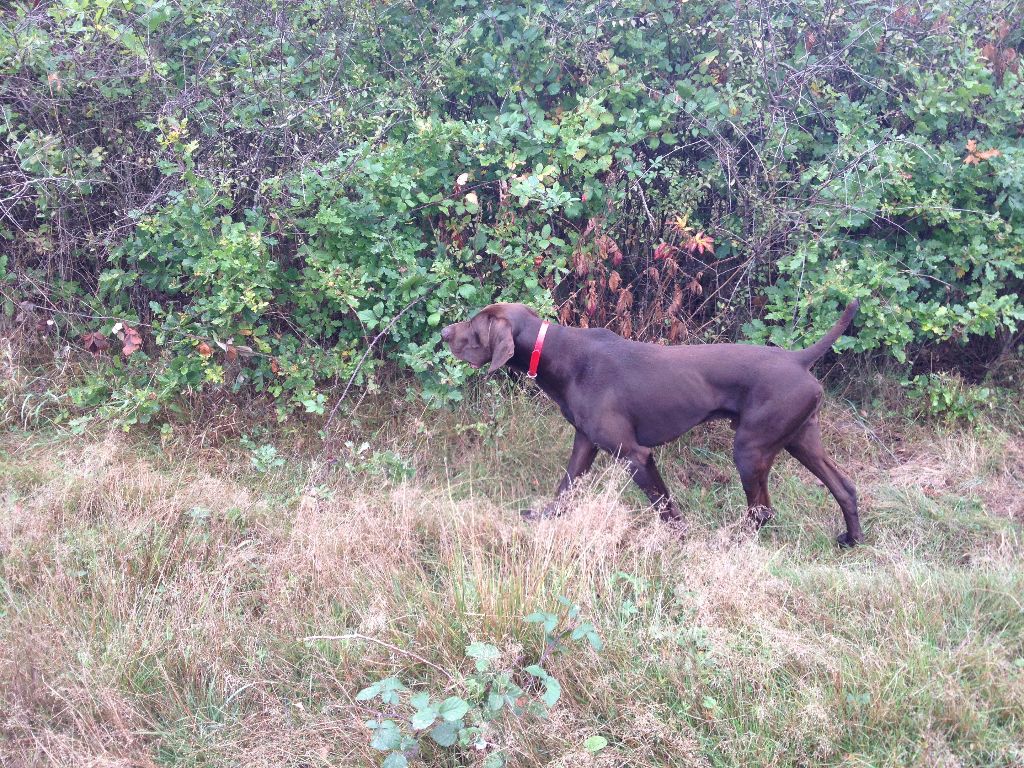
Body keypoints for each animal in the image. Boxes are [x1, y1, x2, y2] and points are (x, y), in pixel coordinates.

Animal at [442, 301, 864, 548]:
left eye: (474, 325)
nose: (444, 332)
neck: (561, 354)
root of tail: (797, 359)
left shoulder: (635, 455)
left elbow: (665, 509)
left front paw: (683, 543)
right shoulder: (585, 443)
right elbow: (565, 488)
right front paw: (544, 518)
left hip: (750, 449)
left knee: (761, 511)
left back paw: (727, 544)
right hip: (800, 440)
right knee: (845, 488)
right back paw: (852, 539)